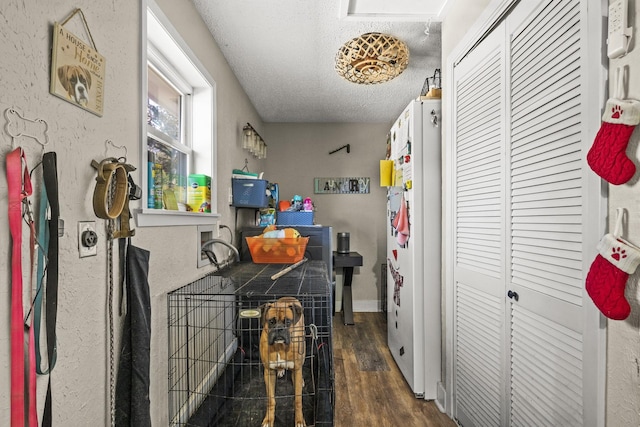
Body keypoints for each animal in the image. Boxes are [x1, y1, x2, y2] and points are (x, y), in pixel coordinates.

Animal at [262, 298, 308, 427]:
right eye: (271, 321)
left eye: (287, 322)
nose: (279, 329)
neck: (280, 347)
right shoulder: (268, 372)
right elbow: (271, 400)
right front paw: (269, 419)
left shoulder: (296, 370)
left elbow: (298, 400)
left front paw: (299, 420)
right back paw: (281, 370)